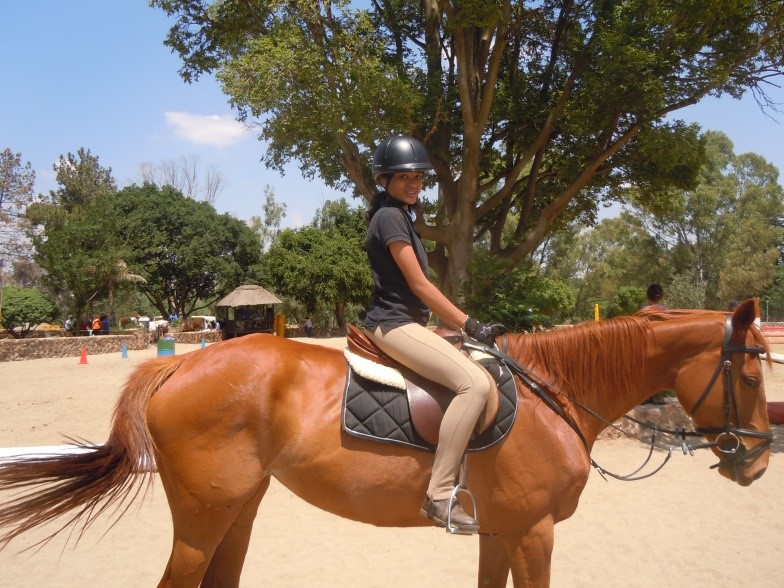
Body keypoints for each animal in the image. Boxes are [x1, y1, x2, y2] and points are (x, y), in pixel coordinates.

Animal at [0, 300, 773, 587]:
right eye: (750, 369)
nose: (760, 460)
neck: (554, 393)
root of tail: (181, 363)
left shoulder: (504, 531)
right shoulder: (535, 532)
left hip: (237, 510)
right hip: (200, 518)